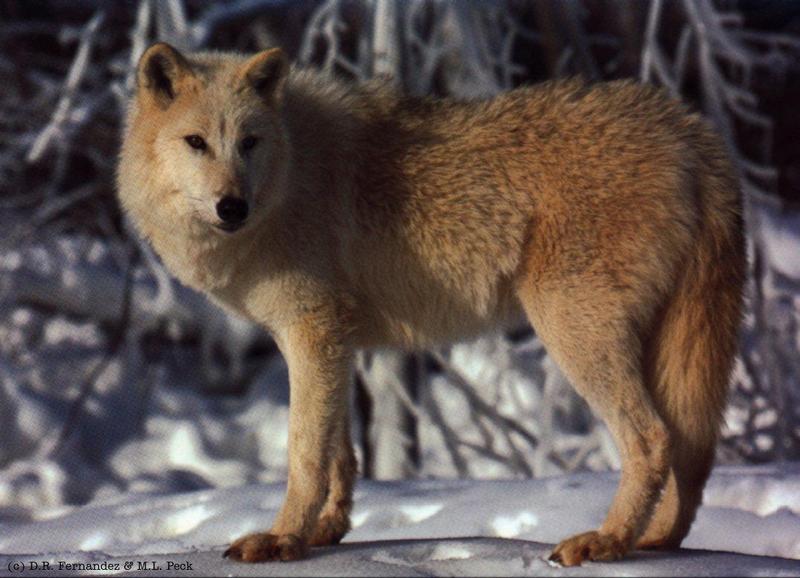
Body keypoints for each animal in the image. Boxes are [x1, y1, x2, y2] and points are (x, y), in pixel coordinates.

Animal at [115, 42, 748, 564]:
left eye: (249, 142)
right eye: (196, 143)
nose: (232, 207)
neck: (292, 174)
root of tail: (687, 128)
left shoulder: (312, 330)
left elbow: (304, 452)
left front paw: (281, 539)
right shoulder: (328, 340)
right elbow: (339, 453)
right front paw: (324, 533)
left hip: (574, 331)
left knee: (652, 439)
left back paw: (608, 541)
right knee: (693, 447)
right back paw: (656, 539)